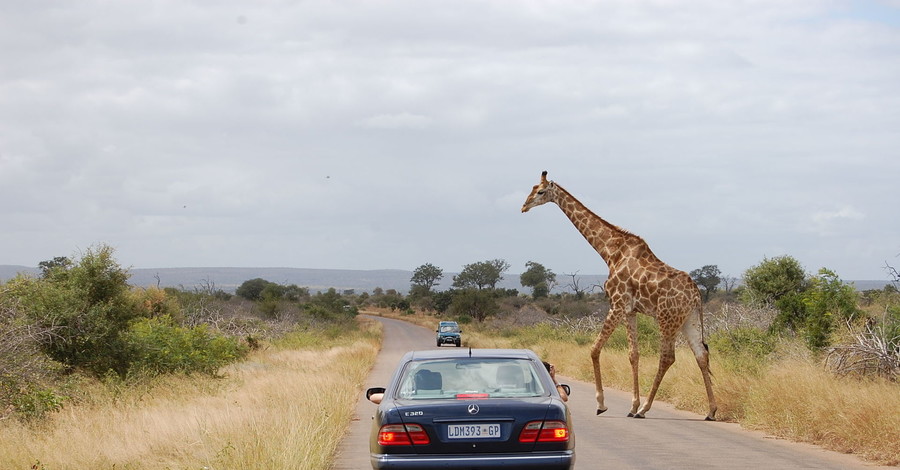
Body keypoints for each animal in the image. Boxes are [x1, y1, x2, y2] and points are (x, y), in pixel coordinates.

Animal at [520, 171, 716, 420]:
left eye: (541, 191)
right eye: (532, 188)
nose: (524, 206)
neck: (610, 252)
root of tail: (696, 295)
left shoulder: (617, 303)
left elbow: (594, 349)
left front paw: (602, 404)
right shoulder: (630, 310)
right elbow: (634, 354)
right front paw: (631, 406)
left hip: (667, 318)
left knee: (668, 357)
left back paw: (645, 409)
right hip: (688, 320)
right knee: (701, 355)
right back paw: (711, 410)